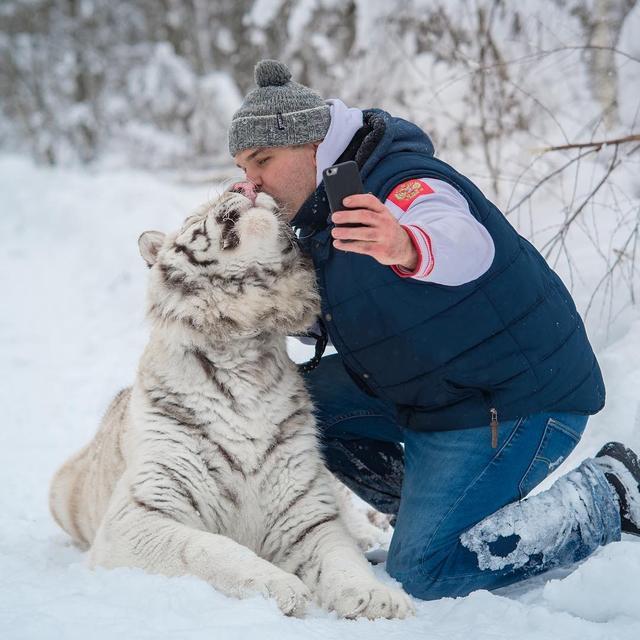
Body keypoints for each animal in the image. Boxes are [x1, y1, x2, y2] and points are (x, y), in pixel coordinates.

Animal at [48, 187, 414, 620]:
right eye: (195, 214)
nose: (243, 187)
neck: (242, 347)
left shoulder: (307, 513)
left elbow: (340, 558)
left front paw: (378, 596)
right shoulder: (139, 516)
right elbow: (208, 548)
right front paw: (279, 586)